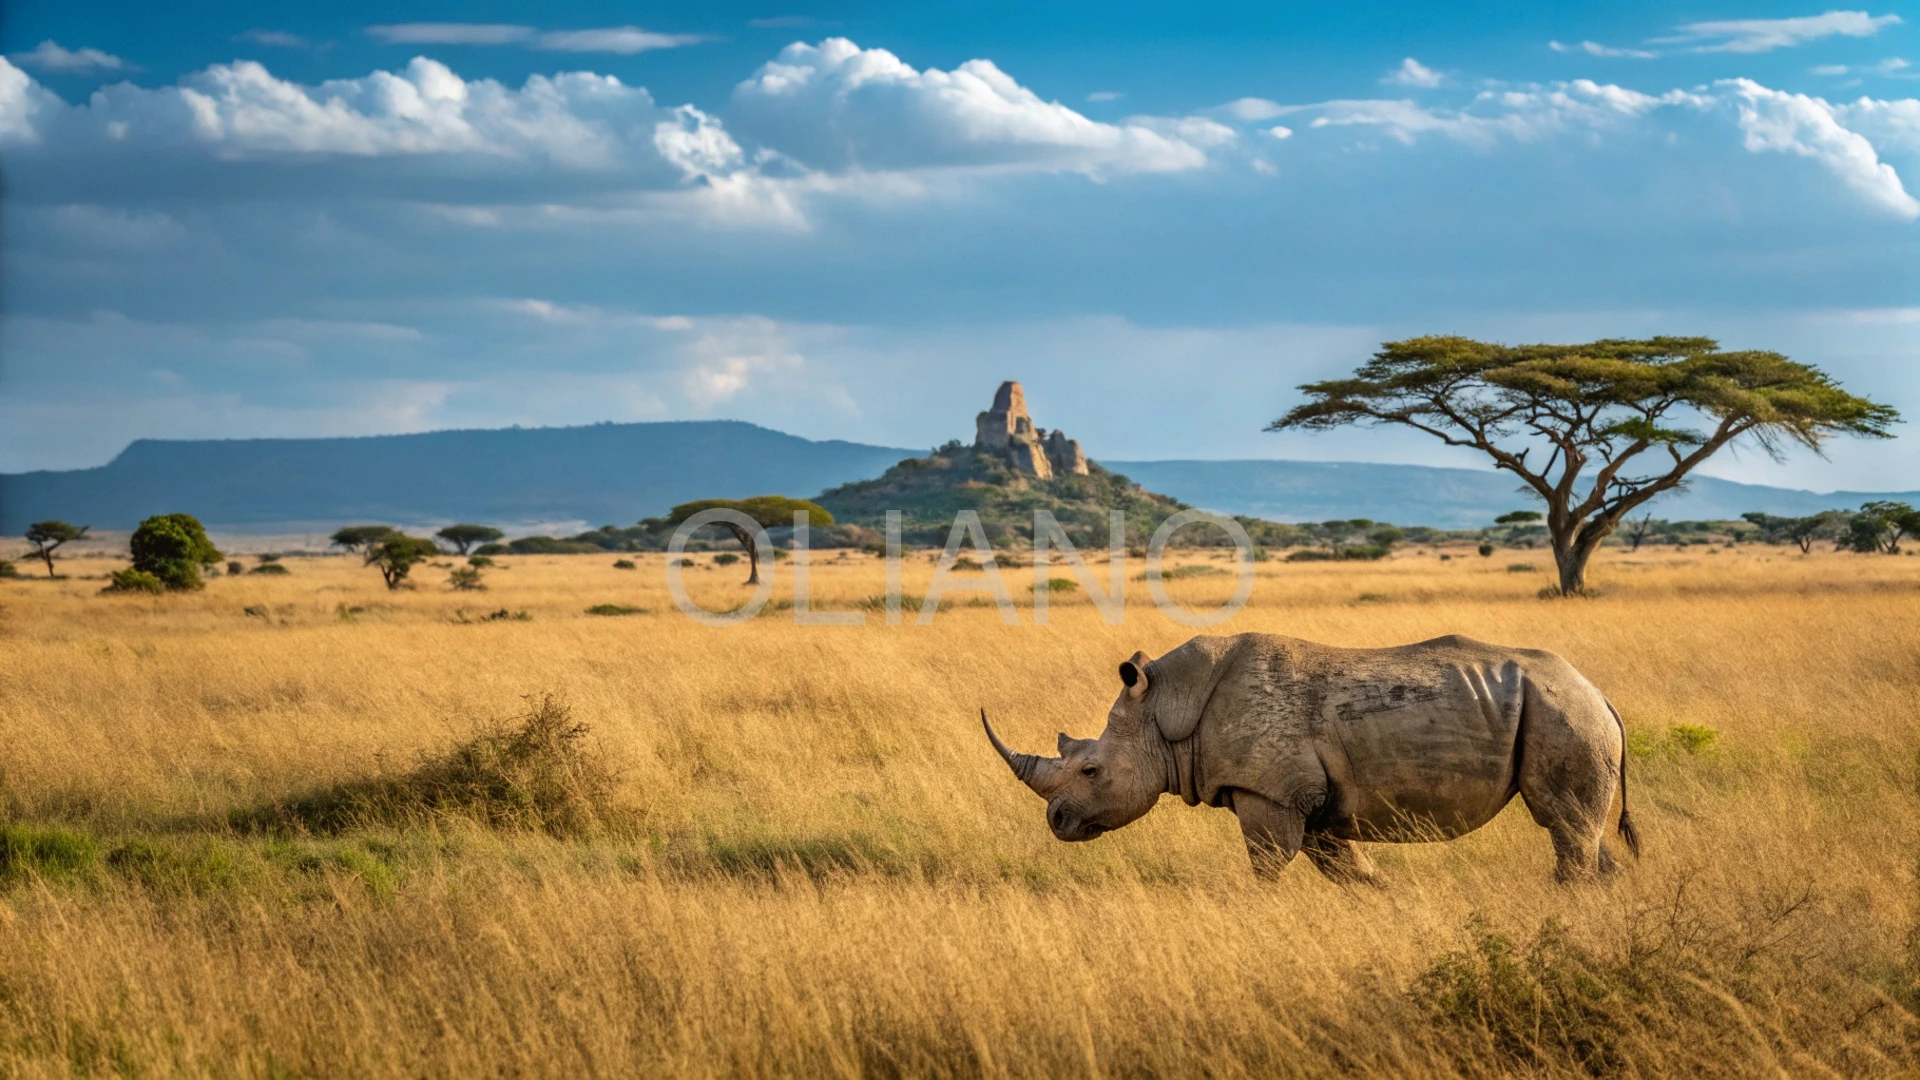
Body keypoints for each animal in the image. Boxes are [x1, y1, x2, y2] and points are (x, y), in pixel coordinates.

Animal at [983, 632, 1638, 882]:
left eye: (1091, 771)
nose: (1056, 821)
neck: (1166, 713)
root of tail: (1601, 694)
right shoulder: (1312, 798)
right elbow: (1350, 870)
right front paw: (1381, 904)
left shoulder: (1270, 792)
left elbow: (1267, 866)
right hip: (1563, 711)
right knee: (1581, 827)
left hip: (1563, 714)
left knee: (1564, 823)